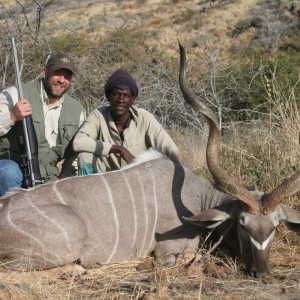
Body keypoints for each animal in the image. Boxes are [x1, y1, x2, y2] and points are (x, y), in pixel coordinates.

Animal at [0, 42, 298, 278]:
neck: (197, 199)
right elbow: (177, 260)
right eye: (242, 225)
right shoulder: (170, 248)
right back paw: (76, 269)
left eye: (274, 227)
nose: (261, 272)